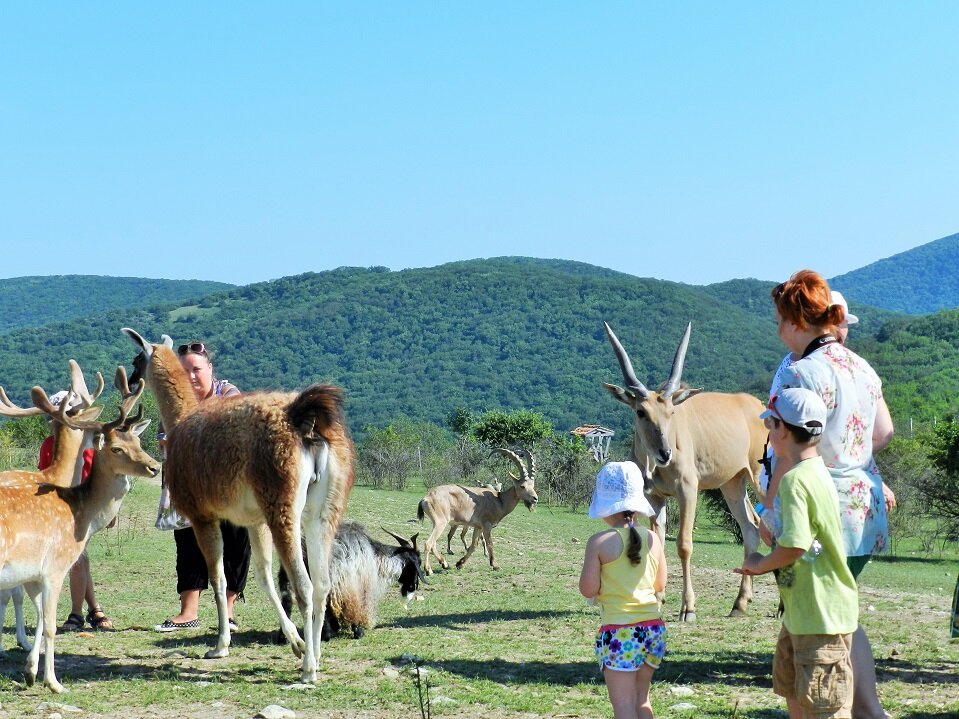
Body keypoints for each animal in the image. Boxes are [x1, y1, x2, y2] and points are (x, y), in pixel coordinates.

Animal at [276, 520, 422, 644]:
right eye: (417, 563)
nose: (413, 586)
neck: (376, 556)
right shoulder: (355, 583)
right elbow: (355, 606)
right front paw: (357, 631)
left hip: (288, 575)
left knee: (286, 601)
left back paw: (284, 637)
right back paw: (325, 634)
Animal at [420, 448, 540, 576]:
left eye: (532, 485)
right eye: (522, 486)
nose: (535, 498)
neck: (499, 500)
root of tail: (426, 498)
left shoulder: (478, 527)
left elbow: (474, 545)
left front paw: (460, 564)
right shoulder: (487, 525)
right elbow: (490, 544)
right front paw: (495, 565)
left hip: (436, 523)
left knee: (433, 544)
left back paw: (445, 564)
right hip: (441, 523)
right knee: (428, 543)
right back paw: (429, 570)